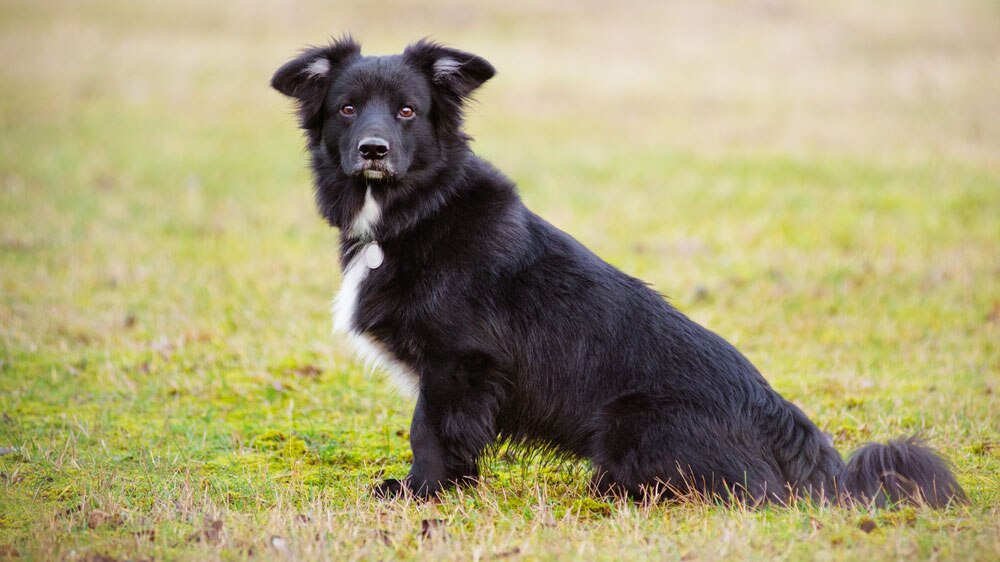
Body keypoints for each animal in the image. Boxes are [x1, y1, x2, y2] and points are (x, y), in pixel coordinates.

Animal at [270, 37, 964, 506]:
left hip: (632, 425)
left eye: (408, 112)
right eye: (347, 109)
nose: (374, 150)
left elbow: (430, 433)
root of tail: (791, 435)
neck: (416, 210)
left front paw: (419, 493)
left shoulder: (459, 362)